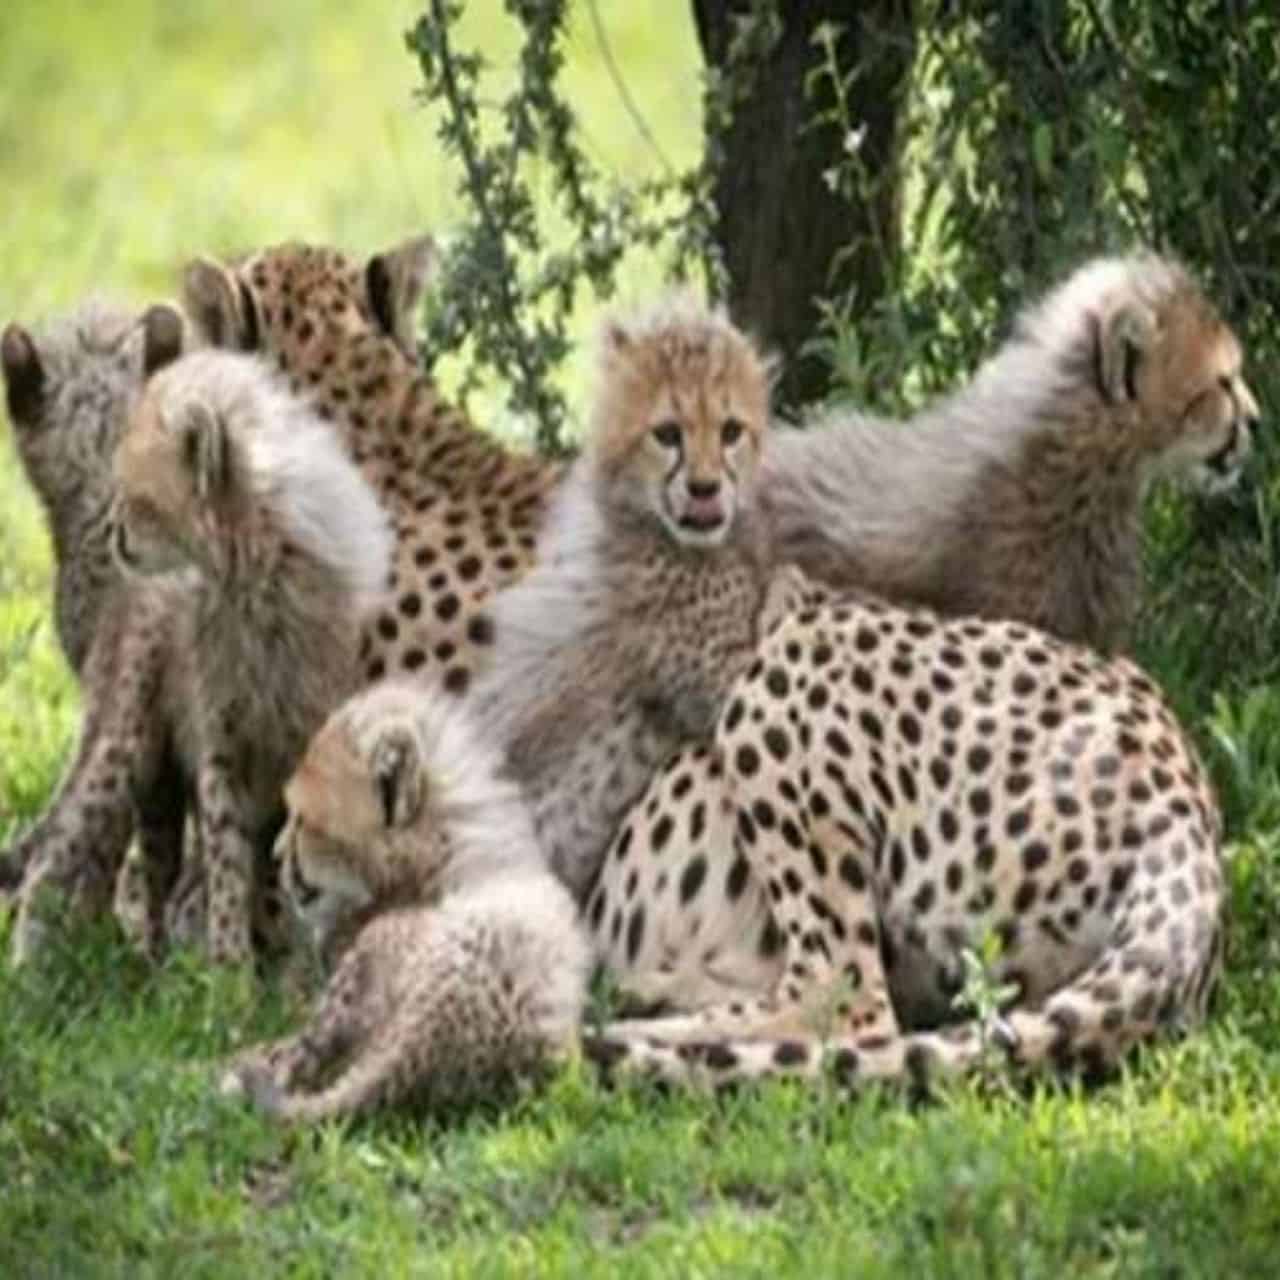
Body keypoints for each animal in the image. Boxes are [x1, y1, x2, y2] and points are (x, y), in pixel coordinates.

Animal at [219, 680, 589, 1123]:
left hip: (375, 952)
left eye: (305, 820)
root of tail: (425, 1034)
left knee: (296, 1058)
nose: (275, 857)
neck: (442, 848)